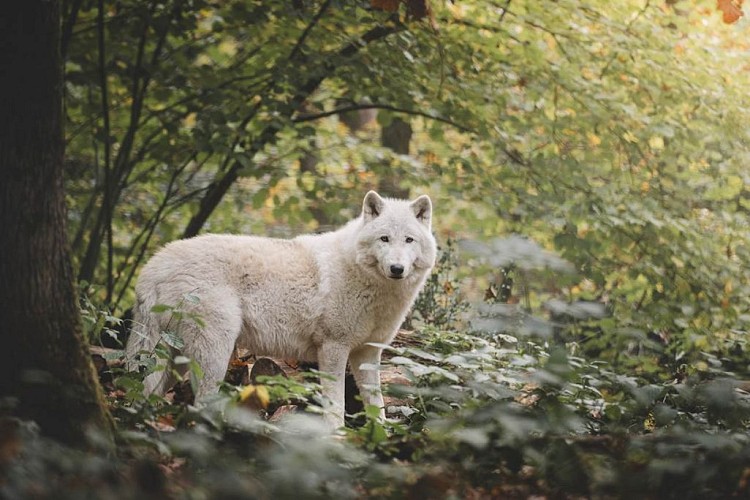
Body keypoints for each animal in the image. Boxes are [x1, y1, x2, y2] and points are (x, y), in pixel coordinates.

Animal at [125, 191, 437, 427]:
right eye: (384, 239)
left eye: (409, 240)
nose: (397, 269)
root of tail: (153, 266)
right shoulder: (333, 347)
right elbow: (336, 403)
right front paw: (337, 436)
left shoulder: (369, 352)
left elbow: (376, 402)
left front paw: (381, 434)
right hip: (214, 351)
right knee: (200, 402)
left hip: (171, 358)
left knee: (149, 392)